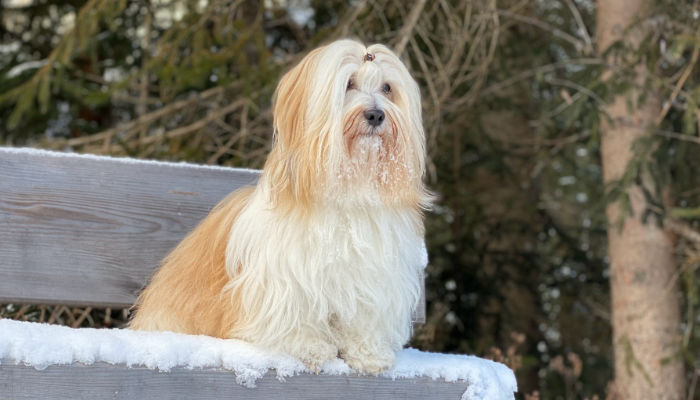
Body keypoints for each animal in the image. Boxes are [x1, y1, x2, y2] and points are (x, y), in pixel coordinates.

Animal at [129, 39, 430, 374]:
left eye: (388, 88)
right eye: (349, 83)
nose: (376, 115)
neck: (348, 192)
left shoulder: (374, 280)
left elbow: (364, 320)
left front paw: (369, 354)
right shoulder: (287, 281)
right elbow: (296, 316)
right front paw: (310, 346)